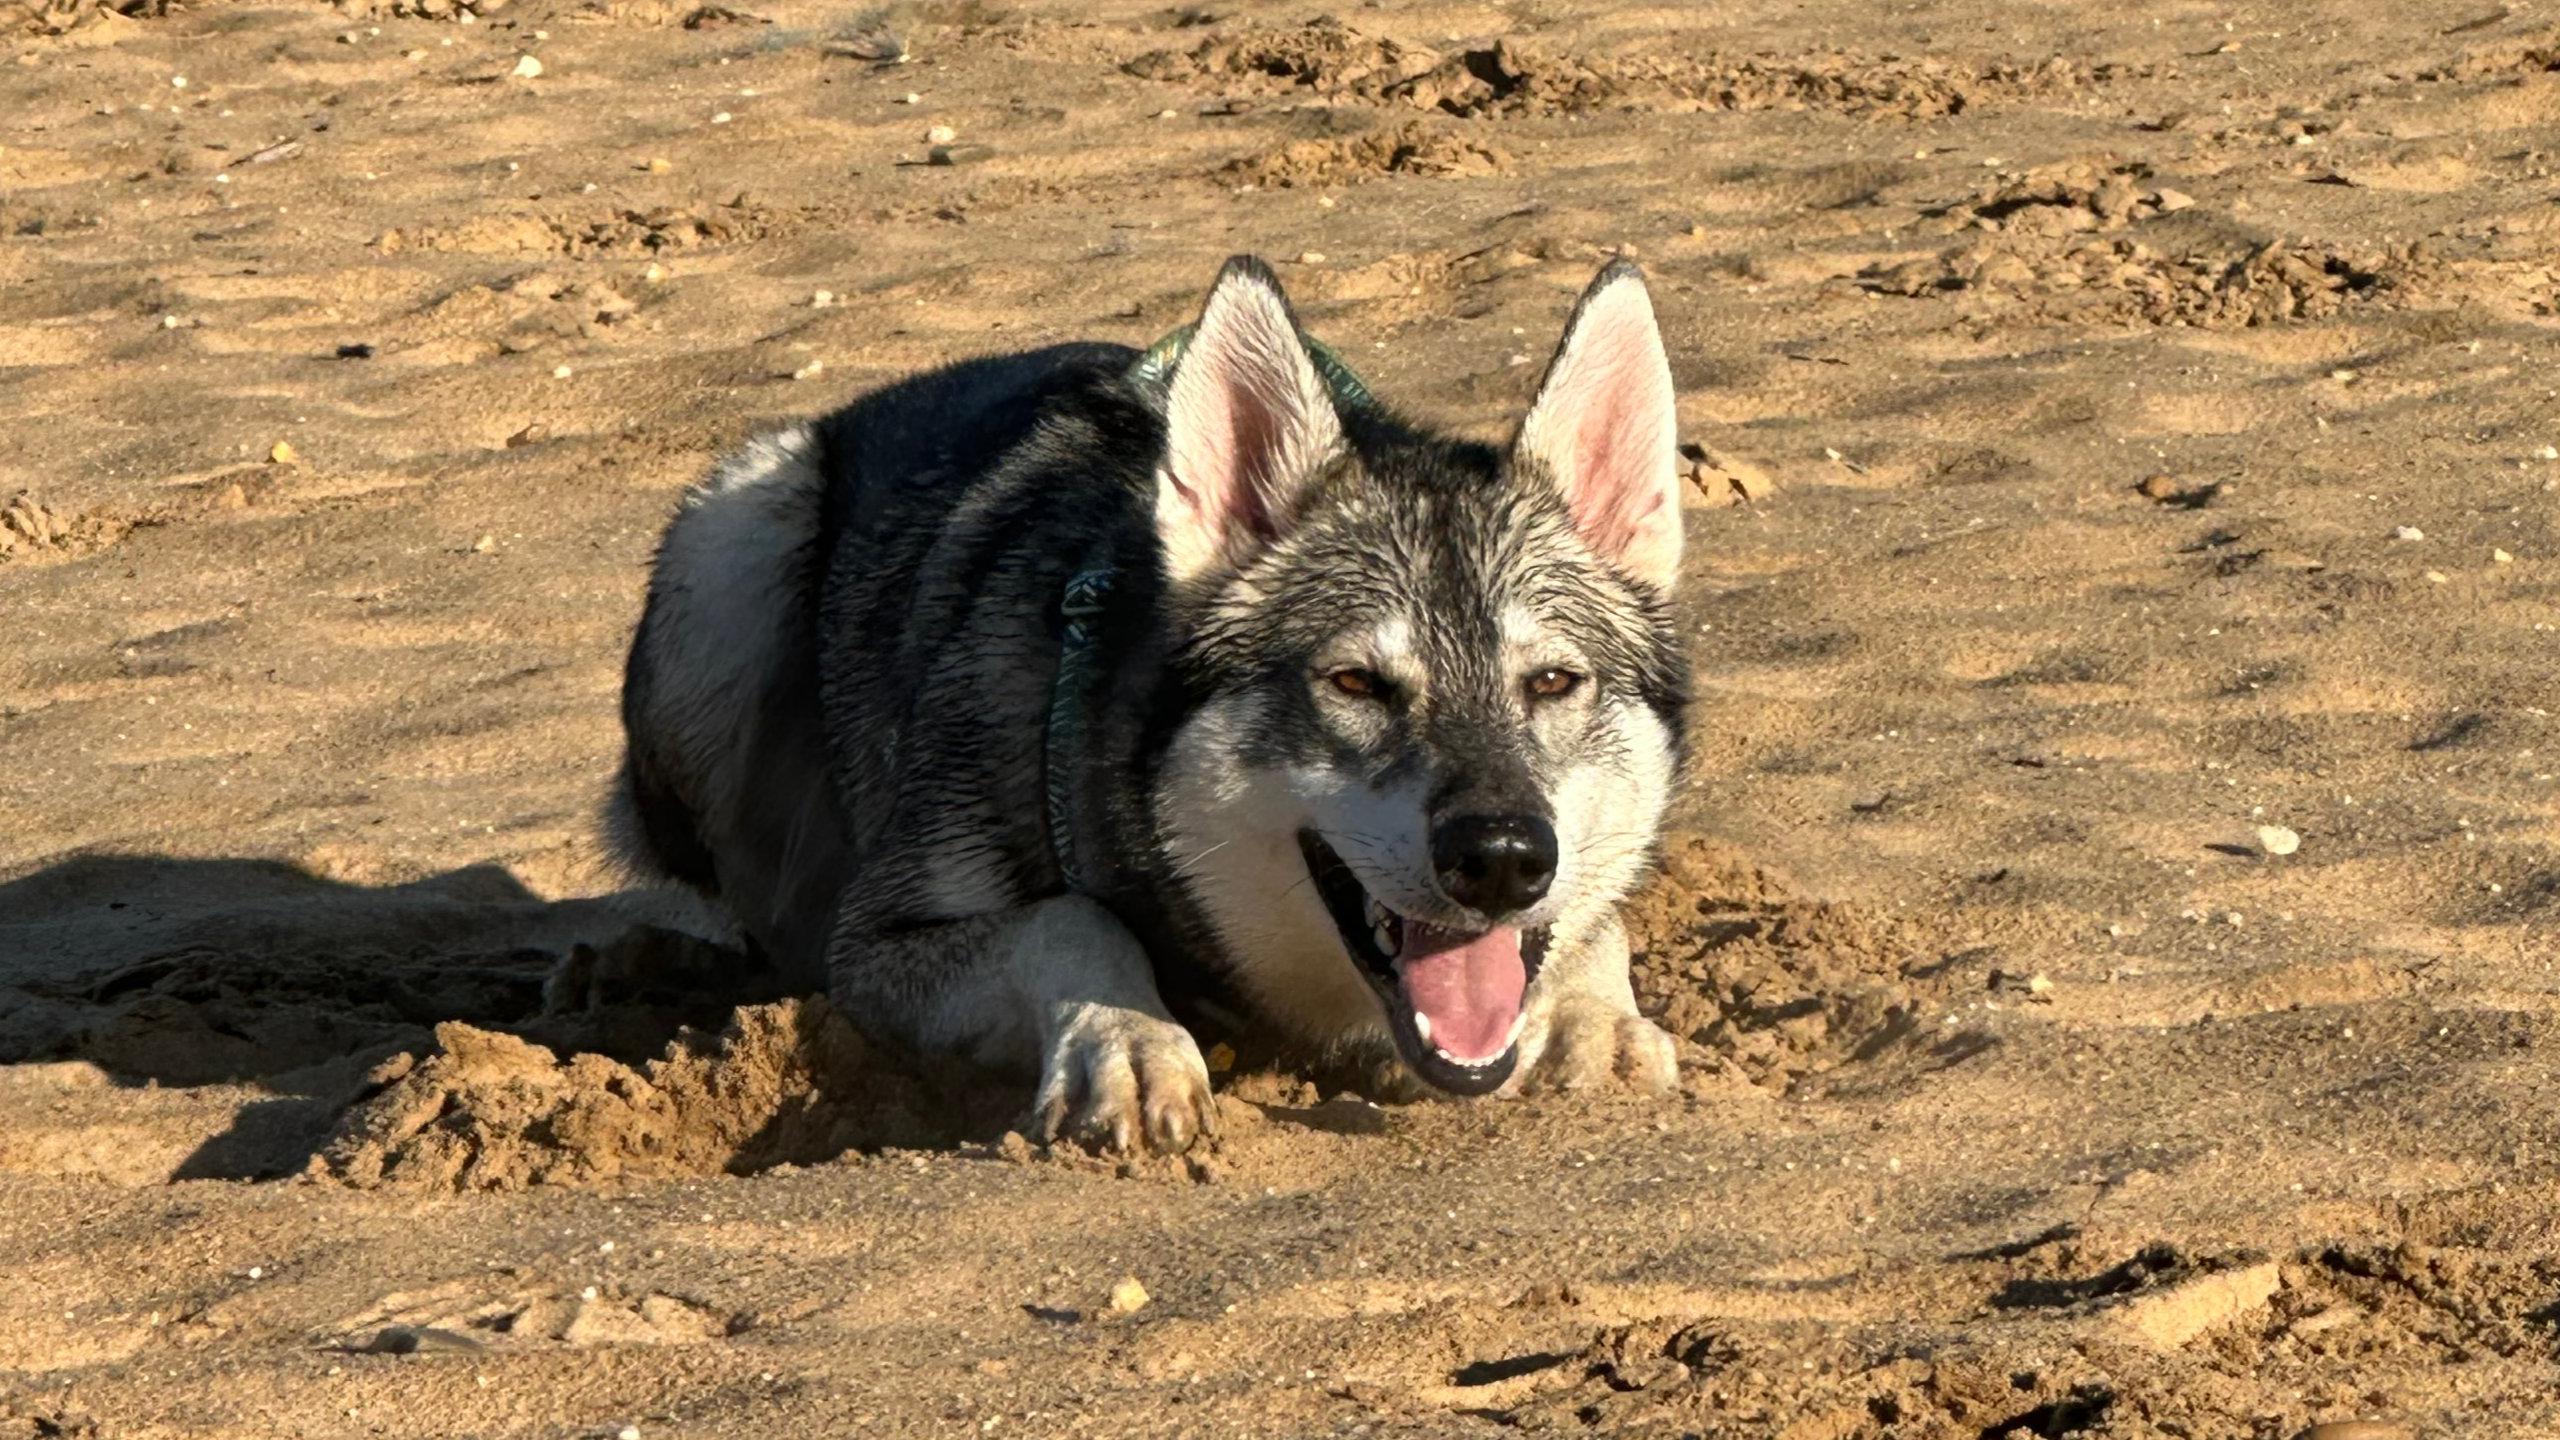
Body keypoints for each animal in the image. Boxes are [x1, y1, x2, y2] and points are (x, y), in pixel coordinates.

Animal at [606, 252, 1689, 1142]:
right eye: (1354, 683)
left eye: (1552, 683)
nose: (1502, 858)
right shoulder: (877, 944)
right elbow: (1074, 919)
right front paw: (1126, 1042)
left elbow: (1600, 926)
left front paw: (1593, 1022)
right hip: (738, 534)